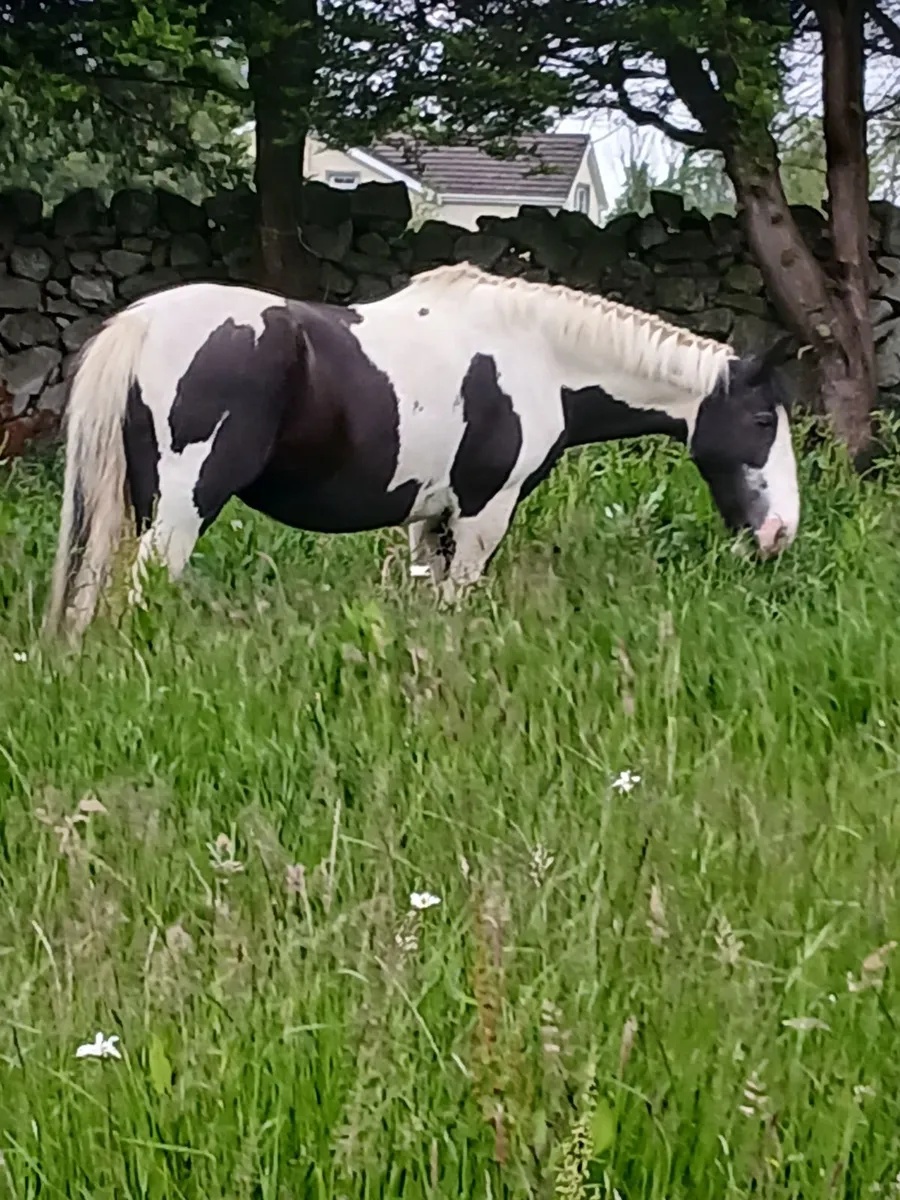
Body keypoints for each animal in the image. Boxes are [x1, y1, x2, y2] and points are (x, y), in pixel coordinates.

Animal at [44, 262, 801, 640]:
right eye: (764, 418)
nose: (779, 533)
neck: (541, 355)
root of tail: (145, 321)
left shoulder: (430, 518)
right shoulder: (483, 512)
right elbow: (457, 602)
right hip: (182, 508)